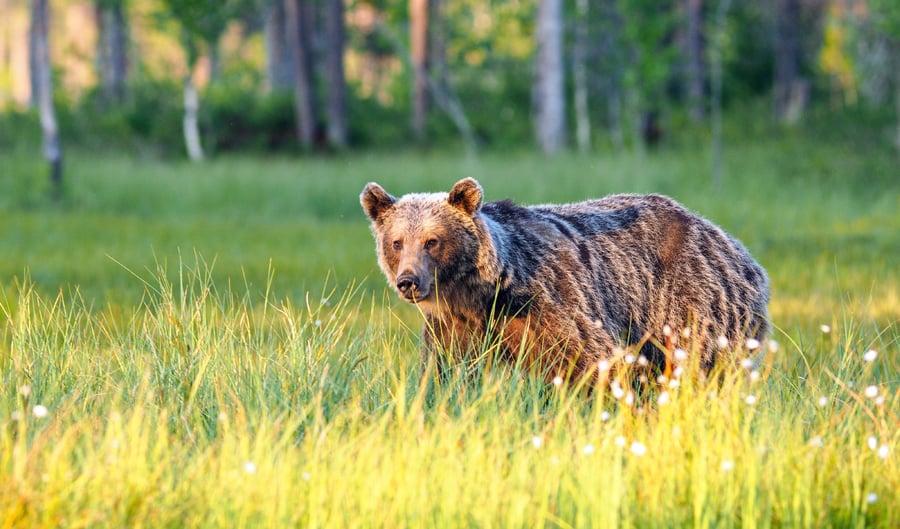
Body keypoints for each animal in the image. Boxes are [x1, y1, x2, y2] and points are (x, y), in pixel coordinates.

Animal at [360, 177, 769, 382]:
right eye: (397, 242)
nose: (408, 281)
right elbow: (445, 373)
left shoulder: (552, 304)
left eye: (432, 240)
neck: (483, 295)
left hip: (691, 298)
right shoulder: (456, 327)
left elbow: (591, 360)